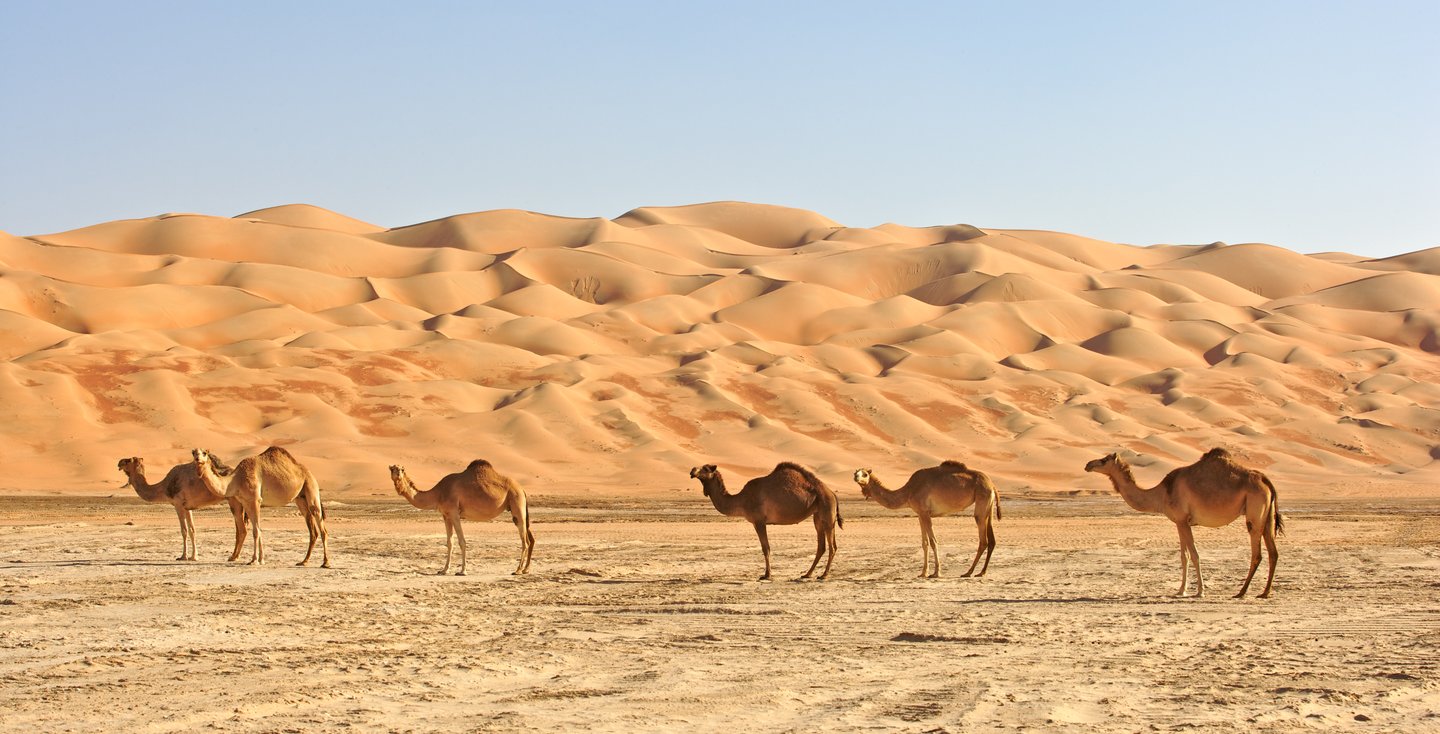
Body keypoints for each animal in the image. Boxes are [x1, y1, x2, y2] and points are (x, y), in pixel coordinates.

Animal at [192, 446, 330, 568]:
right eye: (193, 452)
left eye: (204, 453)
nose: (197, 459)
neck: (236, 480)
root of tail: (309, 473)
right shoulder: (246, 503)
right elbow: (257, 529)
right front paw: (260, 559)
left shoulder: (255, 500)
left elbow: (256, 531)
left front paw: (254, 560)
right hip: (300, 498)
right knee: (312, 530)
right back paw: (304, 561)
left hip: (311, 487)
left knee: (322, 527)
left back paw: (326, 563)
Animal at [388, 461, 534, 576]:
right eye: (392, 469)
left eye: (402, 469)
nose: (398, 474)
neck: (439, 493)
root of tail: (522, 489)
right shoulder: (445, 515)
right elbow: (449, 542)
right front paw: (444, 570)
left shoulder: (454, 513)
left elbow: (462, 541)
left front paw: (463, 571)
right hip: (517, 508)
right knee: (529, 538)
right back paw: (525, 569)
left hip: (517, 503)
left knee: (525, 540)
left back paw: (518, 570)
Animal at [688, 462, 843, 581]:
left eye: (706, 468)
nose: (692, 470)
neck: (741, 500)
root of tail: (832, 493)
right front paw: (767, 574)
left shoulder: (759, 522)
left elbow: (765, 548)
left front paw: (767, 575)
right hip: (818, 516)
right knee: (822, 546)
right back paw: (807, 574)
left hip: (827, 512)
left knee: (832, 546)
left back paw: (823, 575)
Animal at [852, 460, 1002, 578]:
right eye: (856, 472)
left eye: (865, 474)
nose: (855, 477)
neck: (908, 492)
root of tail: (992, 484)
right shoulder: (920, 514)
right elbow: (925, 543)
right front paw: (923, 573)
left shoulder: (925, 513)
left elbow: (933, 541)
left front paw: (936, 573)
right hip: (988, 507)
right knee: (991, 540)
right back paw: (981, 572)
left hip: (981, 502)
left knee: (983, 540)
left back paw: (968, 572)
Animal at [1084, 448, 1283, 598]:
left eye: (1104, 460)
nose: (1088, 464)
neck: (1162, 493)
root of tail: (1265, 480)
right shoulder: (1179, 522)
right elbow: (1184, 556)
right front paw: (1181, 590)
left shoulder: (1182, 520)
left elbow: (1194, 555)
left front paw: (1200, 591)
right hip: (1267, 517)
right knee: (1273, 552)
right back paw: (1265, 593)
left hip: (1254, 514)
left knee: (1257, 553)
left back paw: (1241, 592)